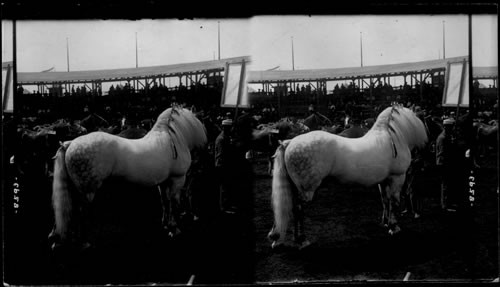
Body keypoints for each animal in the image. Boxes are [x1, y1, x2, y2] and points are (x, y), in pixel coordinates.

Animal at [48, 107, 207, 251]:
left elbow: (165, 203)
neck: (172, 140)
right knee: (80, 213)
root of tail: (70, 144)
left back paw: (59, 238)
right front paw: (174, 228)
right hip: (87, 191)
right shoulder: (177, 180)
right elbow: (174, 204)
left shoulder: (163, 182)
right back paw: (83, 242)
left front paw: (166, 224)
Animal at [268, 106, 428, 250]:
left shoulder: (384, 181)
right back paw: (302, 240)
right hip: (306, 190)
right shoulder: (397, 178)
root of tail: (289, 142)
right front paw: (394, 227)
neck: (392, 139)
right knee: (299, 210)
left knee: (290, 208)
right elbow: (394, 202)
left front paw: (386, 222)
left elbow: (385, 201)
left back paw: (282, 237)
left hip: (295, 188)